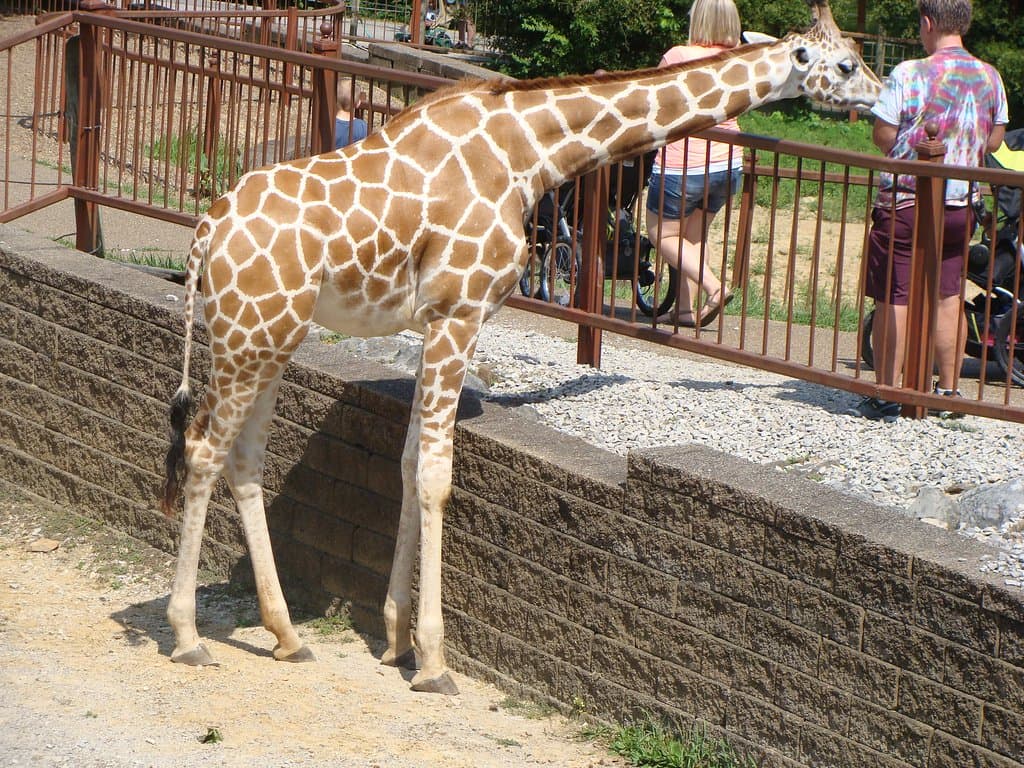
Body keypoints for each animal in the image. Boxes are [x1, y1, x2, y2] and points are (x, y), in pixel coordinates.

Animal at [161, 0, 880, 695]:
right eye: (847, 64)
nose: (879, 99)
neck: (528, 151)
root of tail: (204, 235)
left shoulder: (437, 321)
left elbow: (407, 464)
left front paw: (394, 637)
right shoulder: (460, 312)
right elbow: (435, 477)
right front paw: (434, 661)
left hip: (271, 336)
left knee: (244, 459)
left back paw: (287, 635)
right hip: (250, 336)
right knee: (202, 450)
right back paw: (189, 636)